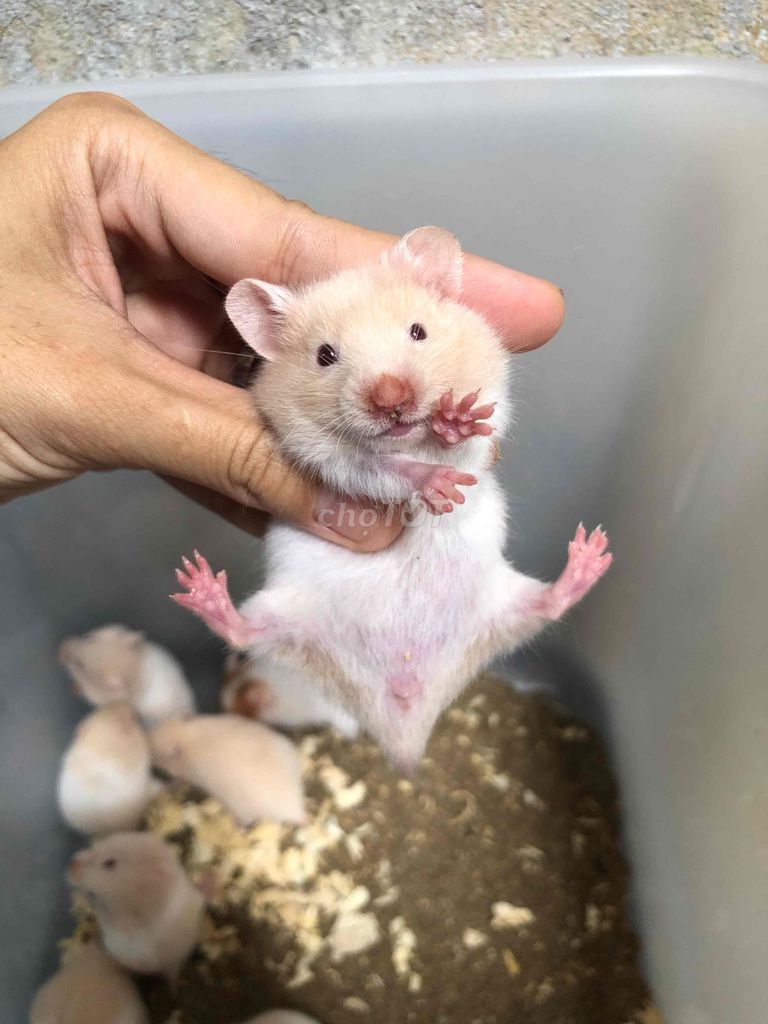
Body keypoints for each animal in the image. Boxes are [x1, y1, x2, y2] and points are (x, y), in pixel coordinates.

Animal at [59, 625, 195, 727]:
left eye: (81, 666)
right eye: (89, 637)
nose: (59, 651)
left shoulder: (101, 698)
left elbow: (87, 693)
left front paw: (76, 688)